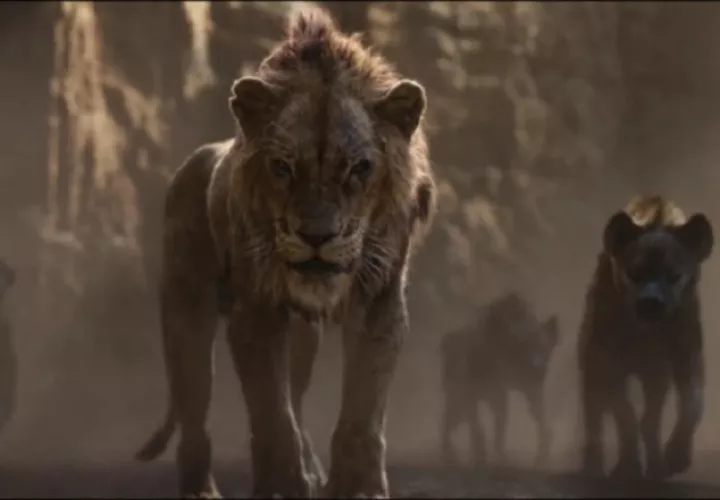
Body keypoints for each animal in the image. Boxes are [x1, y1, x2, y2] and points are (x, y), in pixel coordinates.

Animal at [134, 5, 437, 499]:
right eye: (282, 167)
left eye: (359, 168)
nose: (317, 236)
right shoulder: (255, 310)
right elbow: (272, 416)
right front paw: (279, 486)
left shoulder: (380, 301)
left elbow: (362, 412)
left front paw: (358, 487)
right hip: (186, 314)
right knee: (196, 414)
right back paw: (202, 490)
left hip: (302, 338)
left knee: (293, 394)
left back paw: (312, 473)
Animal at [440, 292, 559, 468]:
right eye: (522, 347)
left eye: (544, 348)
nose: (538, 368)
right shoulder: (473, 392)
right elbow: (479, 427)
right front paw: (481, 457)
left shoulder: (521, 391)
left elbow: (536, 419)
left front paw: (541, 456)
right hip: (457, 395)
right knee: (449, 421)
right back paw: (450, 454)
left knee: (453, 420)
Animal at [578, 195, 713, 480]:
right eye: (634, 273)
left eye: (674, 275)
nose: (651, 302)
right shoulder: (608, 362)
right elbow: (624, 413)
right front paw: (628, 467)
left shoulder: (683, 357)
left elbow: (692, 404)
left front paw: (676, 457)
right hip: (591, 366)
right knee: (593, 415)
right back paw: (593, 465)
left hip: (654, 375)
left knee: (651, 418)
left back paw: (656, 465)